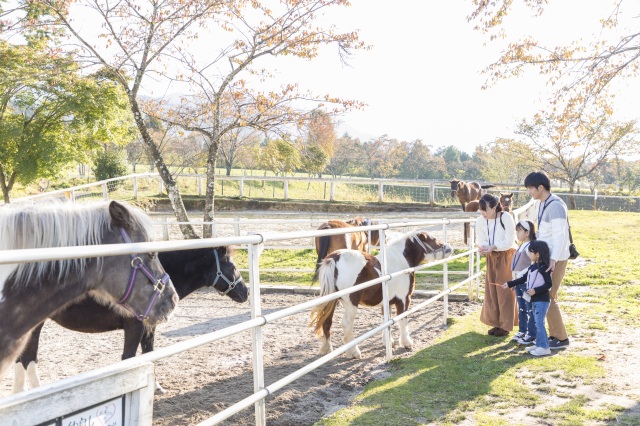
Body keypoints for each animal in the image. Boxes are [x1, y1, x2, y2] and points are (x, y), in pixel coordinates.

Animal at [13, 246, 248, 396]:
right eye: (232, 266)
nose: (245, 292)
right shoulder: (134, 327)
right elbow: (128, 358)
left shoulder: (149, 329)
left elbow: (148, 354)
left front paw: (156, 387)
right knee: (27, 360)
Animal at [308, 231, 450, 358]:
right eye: (433, 239)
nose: (449, 248)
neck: (401, 261)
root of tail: (335, 258)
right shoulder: (404, 300)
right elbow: (403, 320)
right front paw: (406, 343)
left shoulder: (387, 302)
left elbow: (386, 320)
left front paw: (388, 342)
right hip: (351, 303)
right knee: (346, 324)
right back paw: (354, 352)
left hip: (332, 300)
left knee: (326, 321)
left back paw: (327, 349)